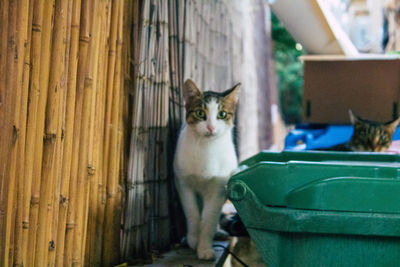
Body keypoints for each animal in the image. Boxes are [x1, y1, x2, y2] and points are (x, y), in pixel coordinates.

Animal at [173, 78, 241, 260]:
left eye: (222, 114)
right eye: (200, 113)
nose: (211, 127)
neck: (206, 148)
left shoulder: (218, 188)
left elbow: (209, 218)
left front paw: (204, 248)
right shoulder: (183, 183)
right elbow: (192, 213)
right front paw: (193, 239)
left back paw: (219, 232)